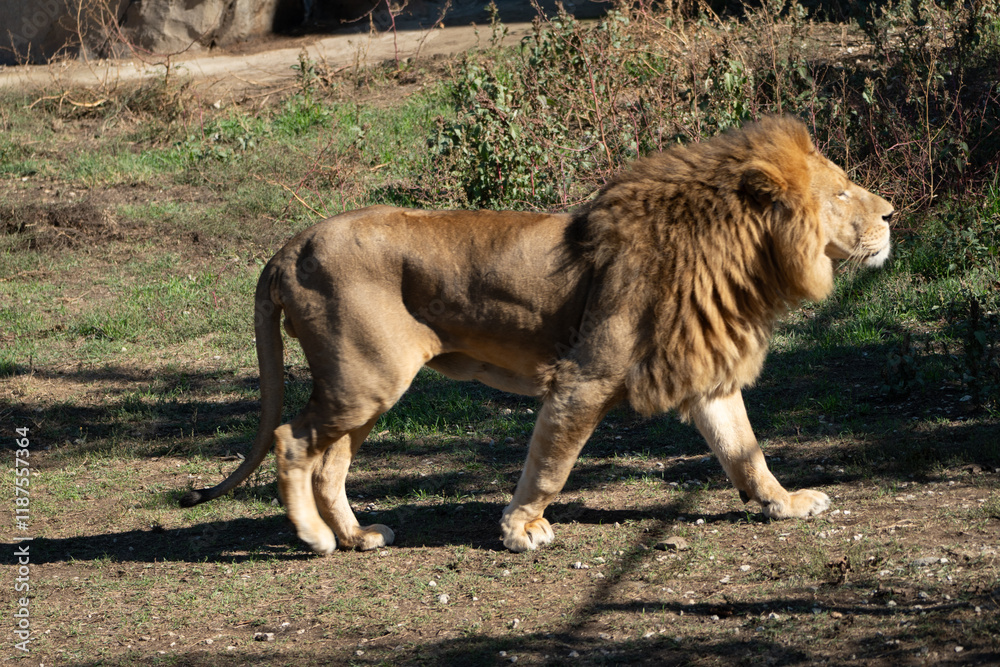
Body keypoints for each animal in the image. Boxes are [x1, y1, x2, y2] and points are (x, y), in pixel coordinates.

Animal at [180, 116, 893, 554]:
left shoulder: (707, 378)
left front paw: (786, 503)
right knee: (291, 441)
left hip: (366, 388)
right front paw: (523, 528)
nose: (890, 214)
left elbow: (745, 451)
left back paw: (358, 538)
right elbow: (551, 463)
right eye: (839, 194)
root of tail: (291, 243)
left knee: (330, 462)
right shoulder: (585, 375)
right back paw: (315, 538)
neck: (740, 255)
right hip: (364, 380)